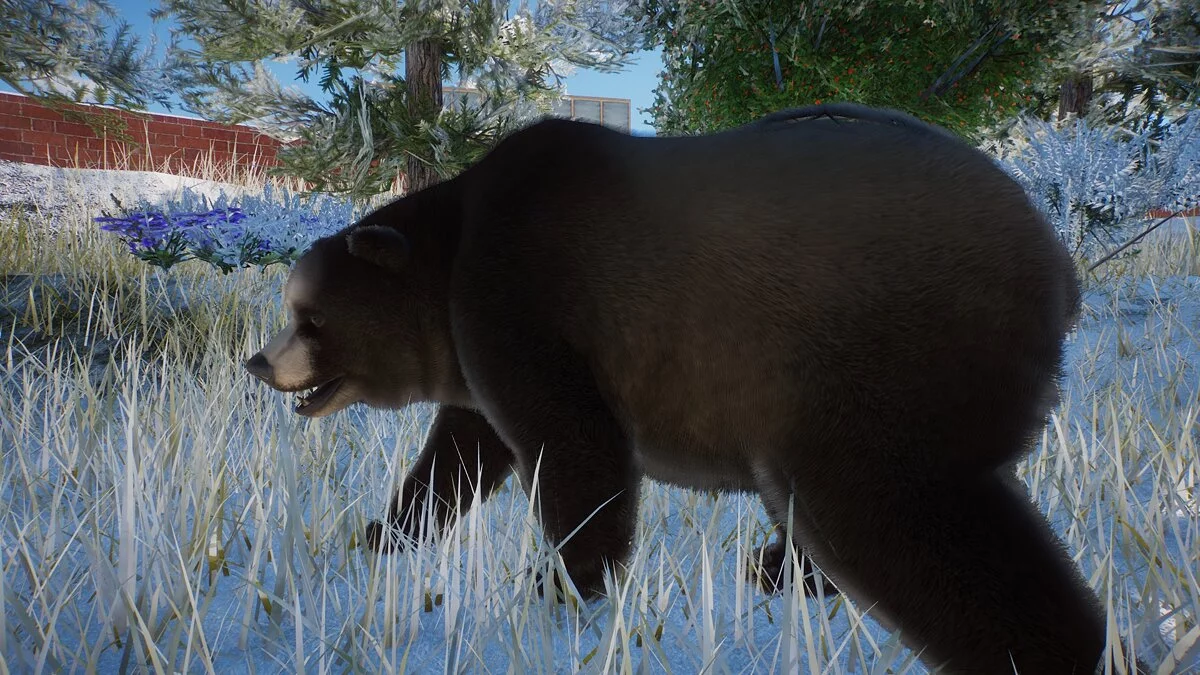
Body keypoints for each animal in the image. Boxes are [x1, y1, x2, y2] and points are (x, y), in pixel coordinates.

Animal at [245, 102, 1112, 673]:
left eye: (309, 317)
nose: (259, 362)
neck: (452, 263)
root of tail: (1058, 265)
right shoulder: (475, 355)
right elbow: (459, 456)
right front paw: (381, 535)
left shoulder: (528, 295)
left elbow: (574, 447)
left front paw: (561, 587)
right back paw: (777, 565)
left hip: (881, 357)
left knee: (890, 506)